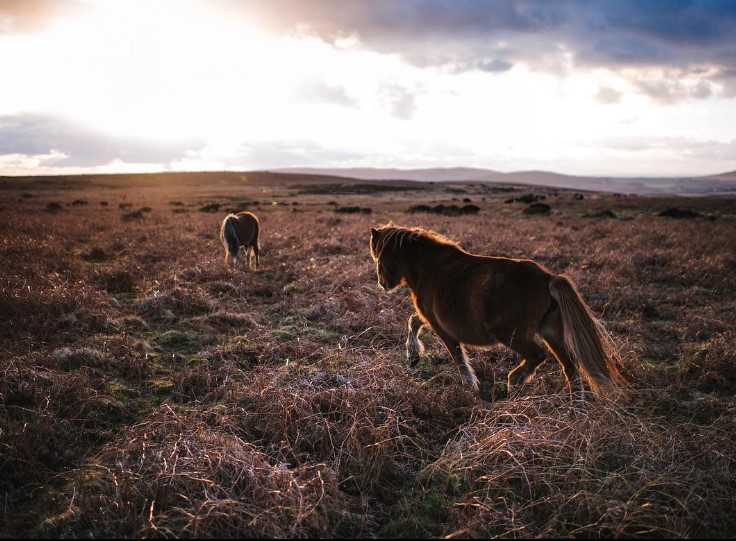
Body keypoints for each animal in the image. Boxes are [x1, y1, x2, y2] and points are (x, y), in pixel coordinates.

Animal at [370, 221, 624, 398]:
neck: (429, 267)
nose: (383, 283)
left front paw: (470, 387)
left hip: (511, 334)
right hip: (551, 333)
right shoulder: (429, 317)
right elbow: (413, 321)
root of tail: (547, 278)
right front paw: (412, 356)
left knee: (537, 355)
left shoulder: (443, 329)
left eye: (380, 256)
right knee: (570, 368)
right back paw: (574, 408)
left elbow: (457, 356)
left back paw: (515, 381)